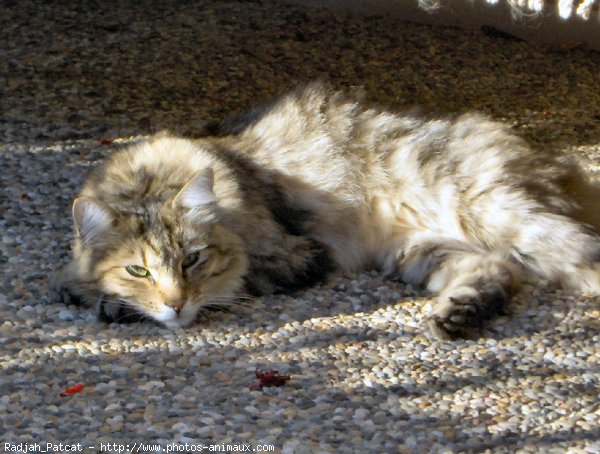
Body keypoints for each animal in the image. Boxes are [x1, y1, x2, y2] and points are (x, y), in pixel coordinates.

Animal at [58, 81, 600, 336]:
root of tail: (553, 159)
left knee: (579, 253)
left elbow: (233, 283)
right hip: (421, 250)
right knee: (497, 270)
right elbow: (74, 283)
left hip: (502, 214)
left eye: (193, 259)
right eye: (139, 269)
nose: (174, 304)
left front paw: (116, 305)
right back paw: (458, 316)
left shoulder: (298, 254)